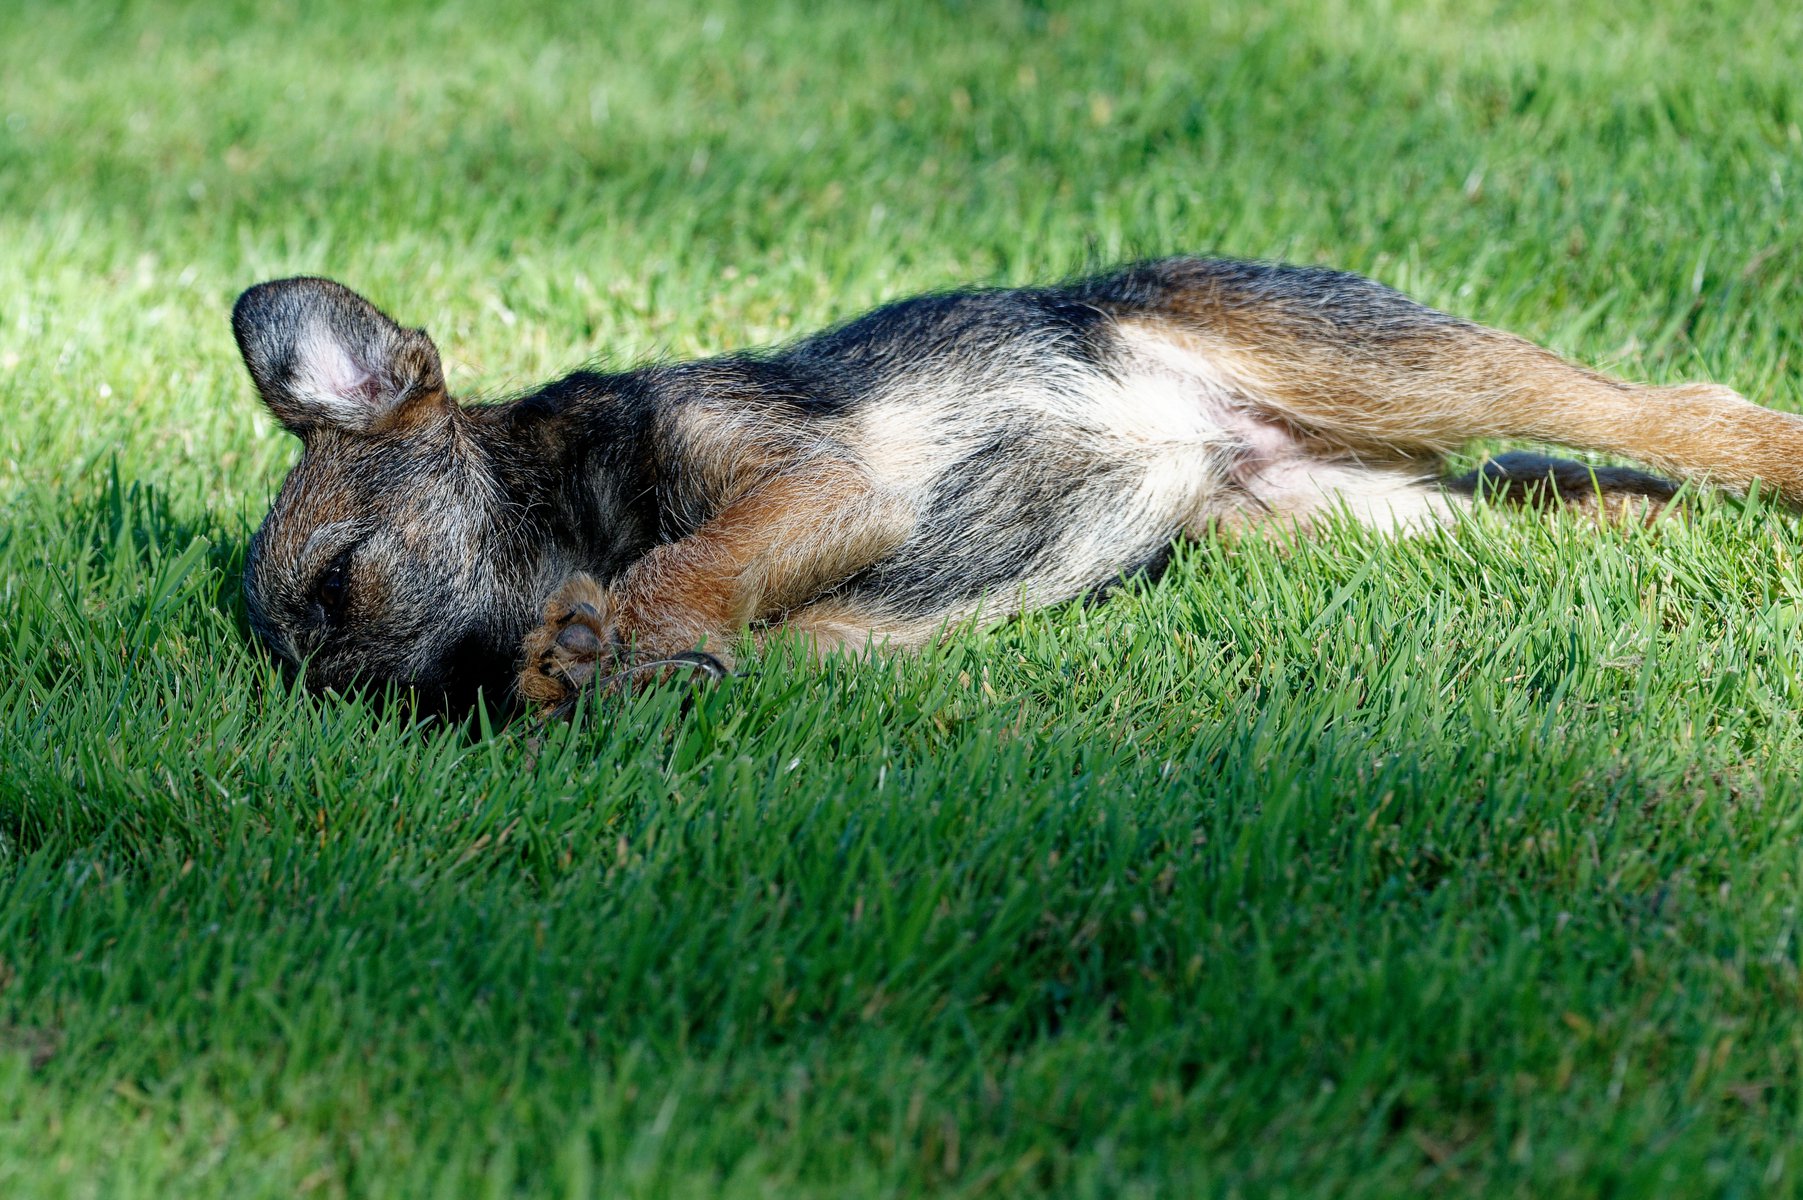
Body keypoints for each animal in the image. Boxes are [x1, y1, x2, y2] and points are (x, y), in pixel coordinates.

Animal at [228, 259, 1803, 709]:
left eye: (342, 583)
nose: (451, 711)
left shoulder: (811, 479)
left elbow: (686, 562)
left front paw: (607, 629)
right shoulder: (827, 638)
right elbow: (743, 640)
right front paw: (587, 665)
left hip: (1397, 366)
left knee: (1672, 410)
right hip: (1343, 513)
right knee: (1570, 494)